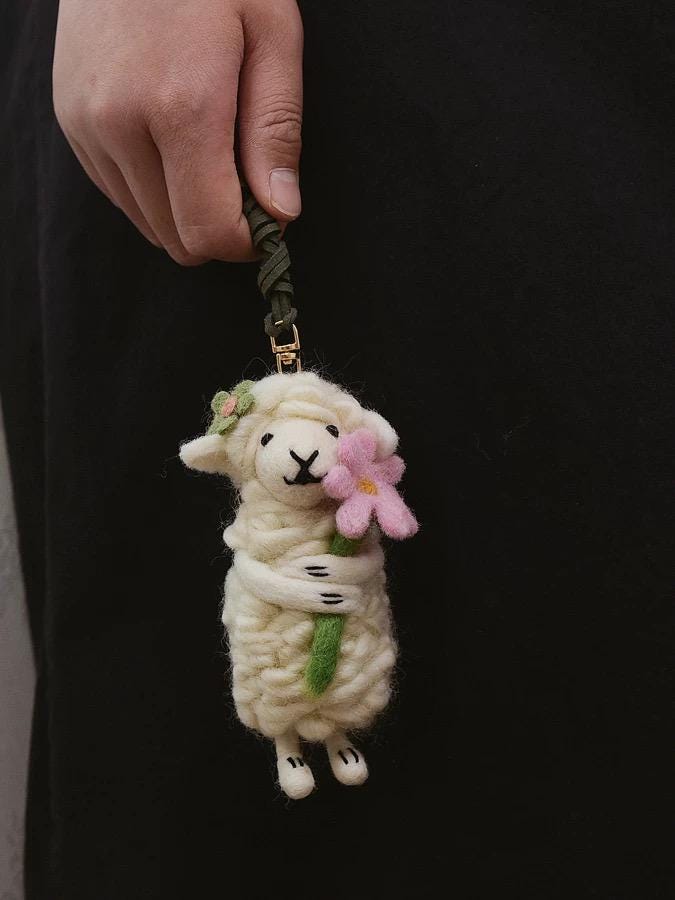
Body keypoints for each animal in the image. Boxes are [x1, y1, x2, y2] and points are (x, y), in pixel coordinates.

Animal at [180, 371, 398, 798]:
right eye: (265, 438)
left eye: (332, 430)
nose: (304, 456)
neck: (302, 517)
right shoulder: (250, 560)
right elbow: (258, 574)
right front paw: (315, 590)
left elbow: (365, 565)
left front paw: (331, 574)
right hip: (267, 694)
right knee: (284, 732)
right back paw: (294, 770)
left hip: (345, 693)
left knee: (332, 726)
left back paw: (346, 757)